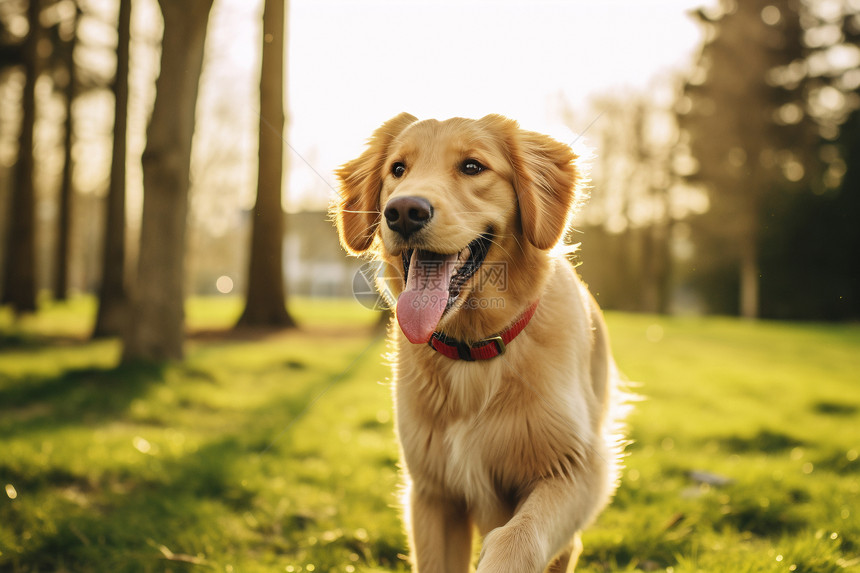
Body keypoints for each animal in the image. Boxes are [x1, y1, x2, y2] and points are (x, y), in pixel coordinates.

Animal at [334, 114, 624, 568]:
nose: (403, 212)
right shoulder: (432, 494)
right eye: (398, 169)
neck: (472, 350)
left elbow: (517, 536)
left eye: (472, 167)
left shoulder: (578, 469)